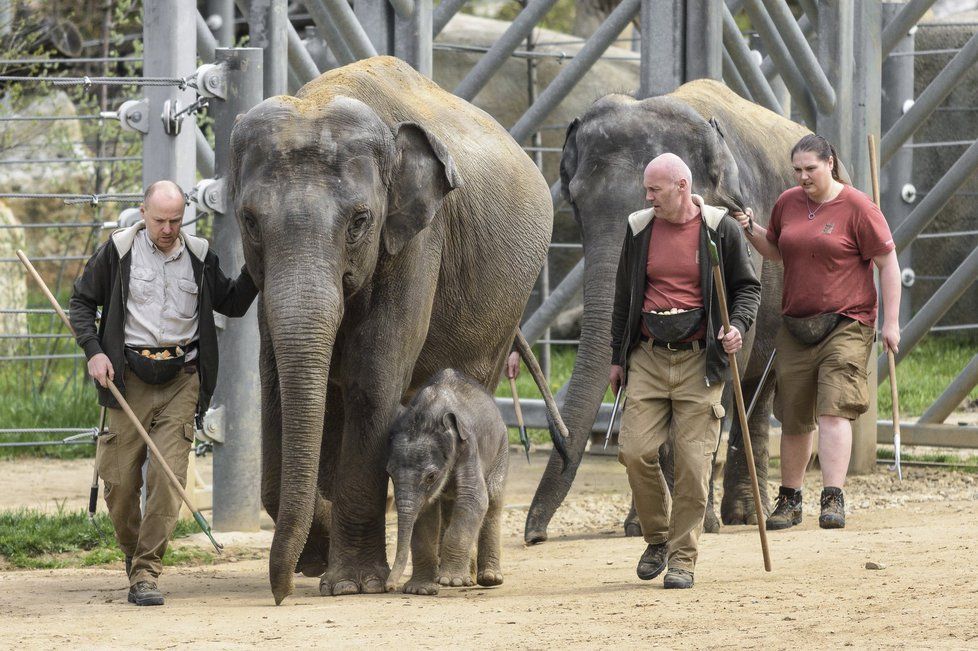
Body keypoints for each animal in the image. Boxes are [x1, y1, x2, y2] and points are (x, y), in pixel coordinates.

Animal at [384, 370, 508, 592]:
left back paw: (489, 579)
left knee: (493, 498)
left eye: (431, 476)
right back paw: (469, 578)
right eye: (389, 472)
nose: (389, 586)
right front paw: (421, 589)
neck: (430, 412)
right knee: (451, 505)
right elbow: (426, 513)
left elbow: (474, 499)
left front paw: (451, 582)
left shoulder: (468, 447)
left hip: (502, 446)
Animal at [528, 79, 808, 544]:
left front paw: (699, 523)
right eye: (575, 203)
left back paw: (746, 516)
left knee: (759, 383)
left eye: (651, 197)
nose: (535, 534)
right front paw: (641, 526)